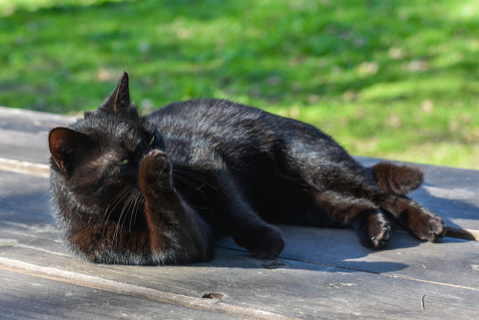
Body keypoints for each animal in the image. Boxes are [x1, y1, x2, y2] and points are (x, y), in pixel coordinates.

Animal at [48, 72, 446, 264]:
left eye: (151, 135)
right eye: (123, 160)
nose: (161, 154)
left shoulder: (208, 163)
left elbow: (234, 210)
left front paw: (264, 240)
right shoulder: (175, 245)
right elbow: (170, 218)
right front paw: (153, 175)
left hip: (317, 164)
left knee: (382, 192)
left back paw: (427, 223)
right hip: (299, 201)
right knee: (358, 205)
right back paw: (375, 229)